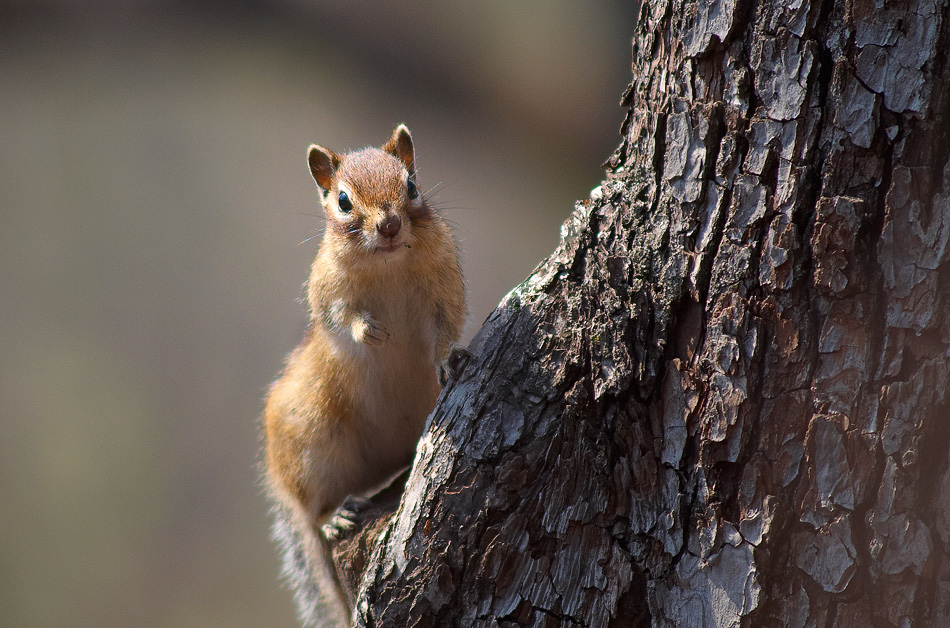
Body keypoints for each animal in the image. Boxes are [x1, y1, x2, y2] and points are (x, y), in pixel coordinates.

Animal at [262, 125, 466, 624]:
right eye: (343, 201)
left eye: (411, 184)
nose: (389, 225)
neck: (387, 263)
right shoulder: (325, 288)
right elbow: (338, 316)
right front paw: (369, 331)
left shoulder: (446, 285)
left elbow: (447, 328)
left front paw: (447, 359)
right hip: (311, 444)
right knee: (312, 511)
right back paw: (334, 516)